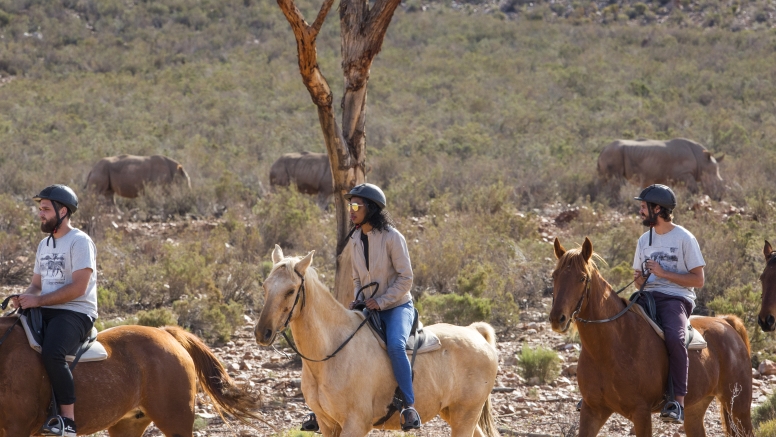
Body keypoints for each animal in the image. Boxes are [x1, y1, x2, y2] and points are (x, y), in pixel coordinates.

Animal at [252, 245, 500, 436]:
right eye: (264, 286)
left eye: (290, 290)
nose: (262, 332)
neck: (332, 353)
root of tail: (475, 332)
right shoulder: (327, 424)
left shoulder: (355, 425)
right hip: (454, 413)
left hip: (465, 415)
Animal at [544, 238, 752, 436]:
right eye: (554, 276)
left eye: (582, 278)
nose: (557, 318)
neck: (610, 348)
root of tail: (726, 323)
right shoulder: (593, 409)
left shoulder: (641, 412)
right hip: (696, 407)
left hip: (739, 408)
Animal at [596, 139, 724, 198]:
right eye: (714, 183)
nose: (718, 198)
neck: (702, 160)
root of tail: (603, 149)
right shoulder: (684, 174)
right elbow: (694, 189)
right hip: (614, 153)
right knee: (614, 179)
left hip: (612, 153)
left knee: (604, 178)